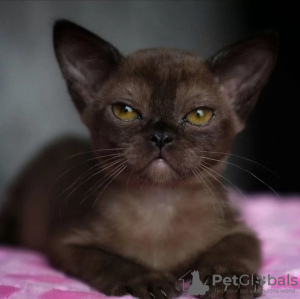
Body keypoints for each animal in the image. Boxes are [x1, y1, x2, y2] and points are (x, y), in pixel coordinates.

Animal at [0, 19, 278, 298]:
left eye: (199, 115)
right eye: (125, 111)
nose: (161, 136)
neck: (160, 206)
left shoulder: (239, 231)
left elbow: (231, 252)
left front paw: (230, 282)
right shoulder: (68, 243)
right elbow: (111, 262)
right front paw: (151, 281)